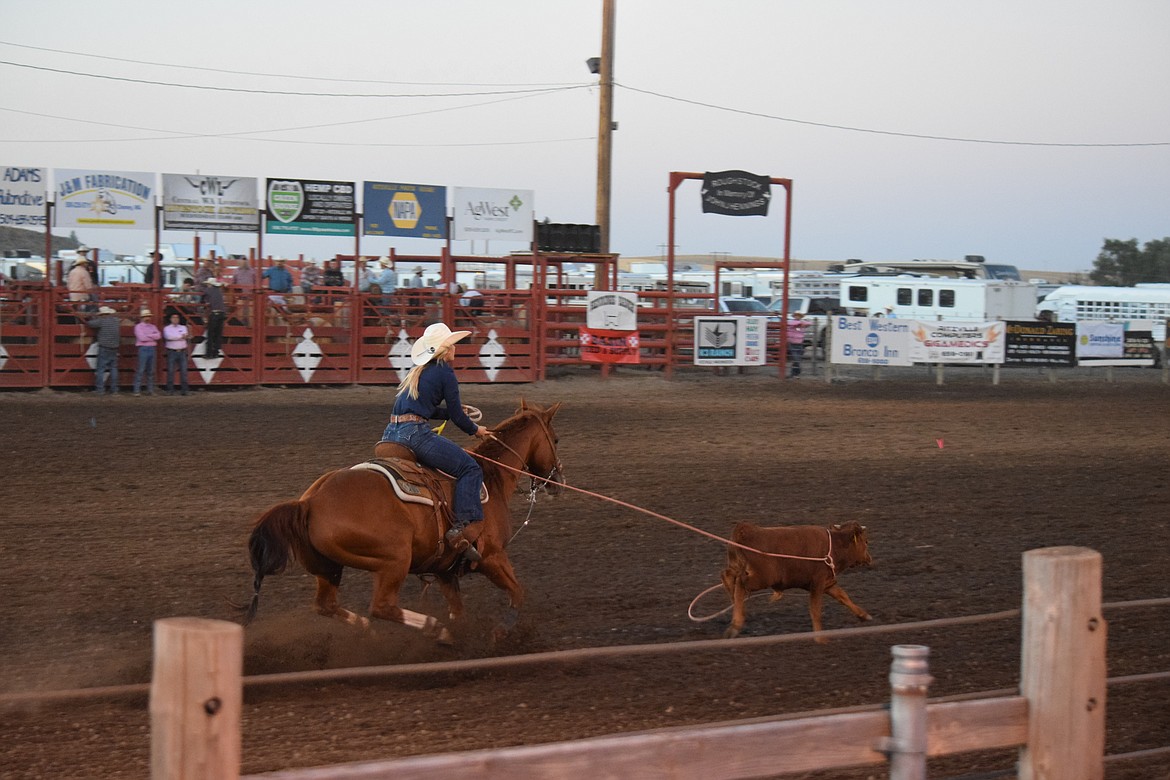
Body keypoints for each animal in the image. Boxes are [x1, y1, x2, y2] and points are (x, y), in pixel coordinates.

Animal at [236, 402, 561, 640]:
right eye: (556, 439)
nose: (557, 481)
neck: (491, 477)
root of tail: (309, 503)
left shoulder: (445, 570)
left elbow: (459, 610)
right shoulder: (492, 557)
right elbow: (517, 592)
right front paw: (500, 632)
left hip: (328, 567)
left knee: (326, 605)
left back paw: (369, 630)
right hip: (394, 560)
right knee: (382, 606)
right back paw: (433, 628)